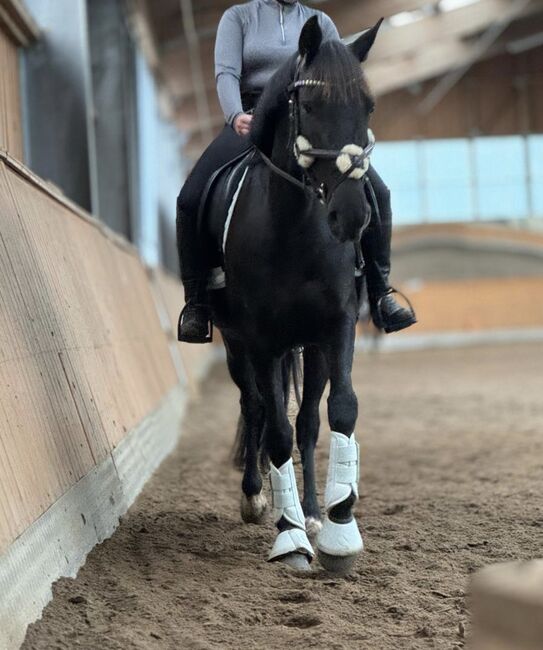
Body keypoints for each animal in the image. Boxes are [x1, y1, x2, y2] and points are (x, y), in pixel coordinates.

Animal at [204, 16, 382, 572]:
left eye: (368, 106)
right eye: (313, 104)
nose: (352, 216)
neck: (295, 229)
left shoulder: (336, 328)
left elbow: (338, 410)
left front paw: (339, 529)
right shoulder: (261, 341)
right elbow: (275, 428)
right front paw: (290, 538)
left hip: (307, 346)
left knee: (305, 420)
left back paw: (312, 511)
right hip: (239, 346)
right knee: (257, 408)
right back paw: (258, 498)